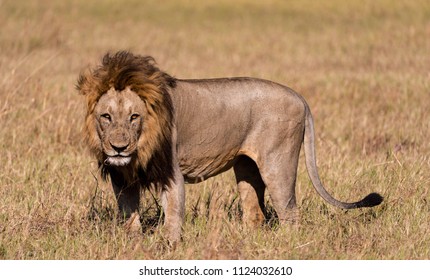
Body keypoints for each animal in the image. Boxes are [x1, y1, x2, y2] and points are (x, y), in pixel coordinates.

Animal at [76, 50, 382, 241]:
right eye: (106, 116)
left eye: (134, 117)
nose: (118, 148)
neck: (141, 144)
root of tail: (300, 97)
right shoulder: (122, 178)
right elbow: (129, 216)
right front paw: (134, 243)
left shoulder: (172, 173)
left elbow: (173, 216)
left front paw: (167, 247)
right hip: (246, 168)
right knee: (255, 213)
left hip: (277, 164)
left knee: (290, 213)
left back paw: (286, 245)